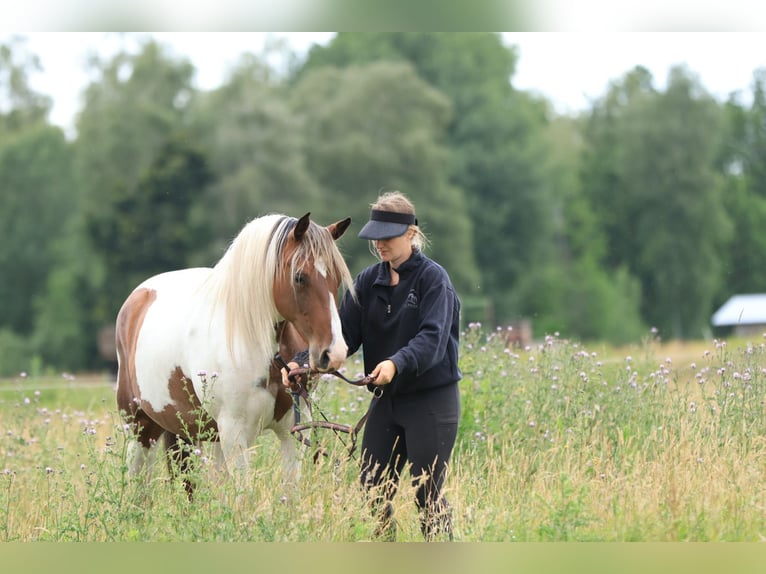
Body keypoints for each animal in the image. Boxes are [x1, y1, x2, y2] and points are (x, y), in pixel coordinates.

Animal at [115, 213, 354, 493]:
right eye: (299, 277)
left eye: (337, 278)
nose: (334, 353)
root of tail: (139, 296)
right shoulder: (235, 433)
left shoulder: (291, 432)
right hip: (141, 428)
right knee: (140, 486)